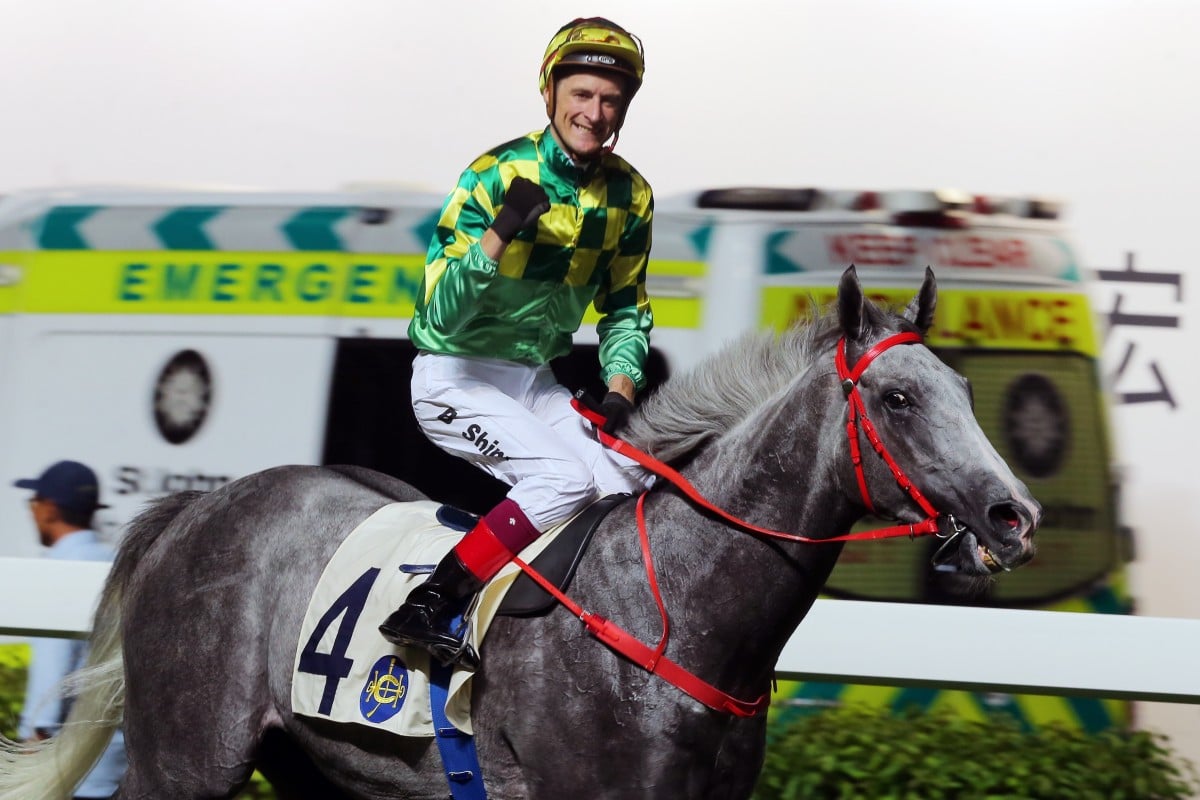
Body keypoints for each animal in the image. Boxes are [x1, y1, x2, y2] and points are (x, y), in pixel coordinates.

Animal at [0, 268, 1036, 800]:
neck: (677, 611)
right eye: (899, 399)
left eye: (965, 387)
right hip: (185, 758)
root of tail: (195, 511)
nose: (1011, 514)